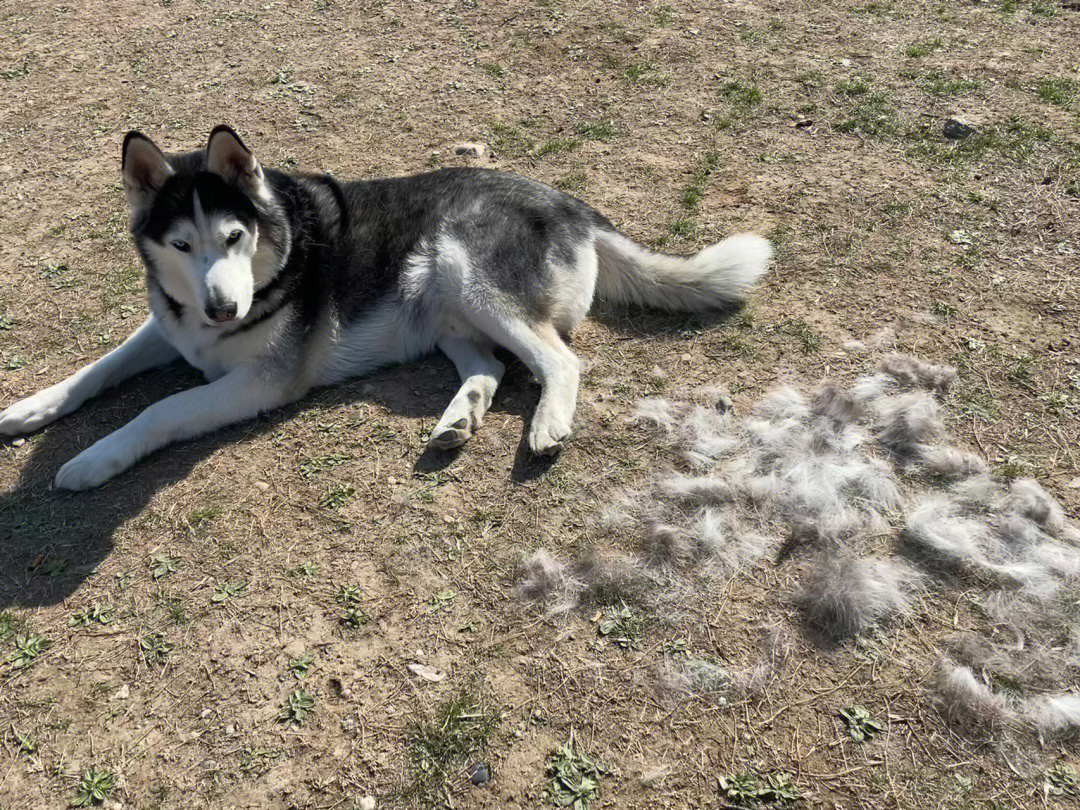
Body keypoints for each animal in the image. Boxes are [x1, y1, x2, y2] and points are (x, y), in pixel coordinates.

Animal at [0, 126, 777, 492]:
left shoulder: (260, 381)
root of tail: (573, 204)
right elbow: (98, 369)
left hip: (469, 268)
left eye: (233, 237)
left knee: (560, 360)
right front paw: (29, 409)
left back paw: (548, 425)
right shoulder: (169, 327)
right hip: (443, 312)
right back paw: (458, 419)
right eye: (183, 245)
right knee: (493, 366)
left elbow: (158, 410)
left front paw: (92, 461)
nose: (223, 309)